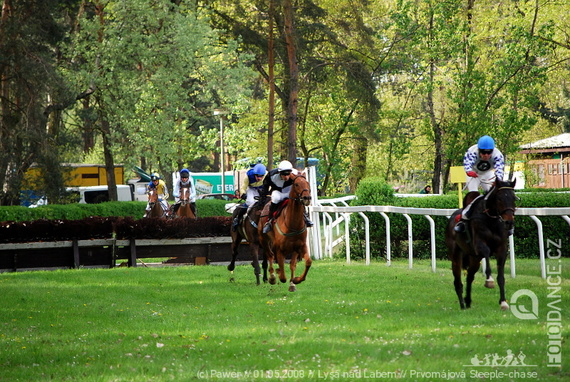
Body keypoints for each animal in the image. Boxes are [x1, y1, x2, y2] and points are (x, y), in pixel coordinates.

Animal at [444, 179, 516, 310]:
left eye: (514, 198)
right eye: (499, 198)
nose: (509, 222)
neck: (491, 220)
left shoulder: (502, 249)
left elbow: (501, 277)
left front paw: (503, 302)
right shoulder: (479, 245)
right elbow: (487, 253)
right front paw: (489, 280)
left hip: (474, 259)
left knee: (469, 277)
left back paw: (468, 301)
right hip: (456, 256)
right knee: (457, 281)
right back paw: (462, 305)